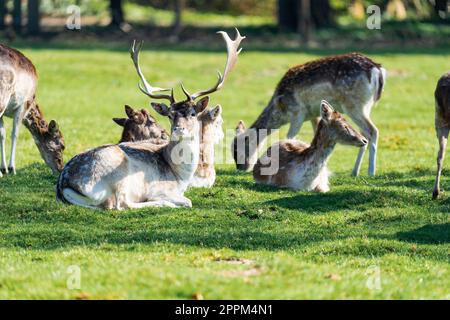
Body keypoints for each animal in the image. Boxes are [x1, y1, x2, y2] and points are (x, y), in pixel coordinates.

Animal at [0, 42, 65, 176]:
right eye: (62, 145)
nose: (60, 168)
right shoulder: (23, 104)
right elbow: (14, 133)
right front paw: (11, 169)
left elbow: (2, 134)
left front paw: (3, 169)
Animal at [57, 29, 246, 210]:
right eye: (170, 115)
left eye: (193, 113)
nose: (178, 129)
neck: (180, 176)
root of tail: (64, 185)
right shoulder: (162, 188)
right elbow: (187, 201)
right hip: (118, 171)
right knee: (120, 204)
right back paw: (164, 204)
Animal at [232, 53, 386, 178]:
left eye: (239, 148)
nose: (241, 168)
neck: (280, 108)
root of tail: (377, 70)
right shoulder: (314, 115)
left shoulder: (297, 112)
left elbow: (290, 137)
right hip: (365, 107)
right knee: (365, 133)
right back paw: (355, 172)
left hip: (354, 105)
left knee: (373, 130)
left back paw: (371, 172)